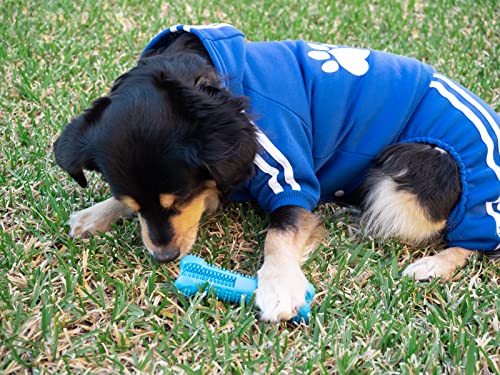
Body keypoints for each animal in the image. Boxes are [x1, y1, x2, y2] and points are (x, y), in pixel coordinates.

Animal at [52, 22, 498, 324]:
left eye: (179, 198)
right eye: (131, 202)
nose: (164, 257)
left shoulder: (288, 175)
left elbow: (279, 235)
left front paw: (279, 286)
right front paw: (96, 214)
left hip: (419, 172)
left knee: (472, 242)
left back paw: (429, 264)